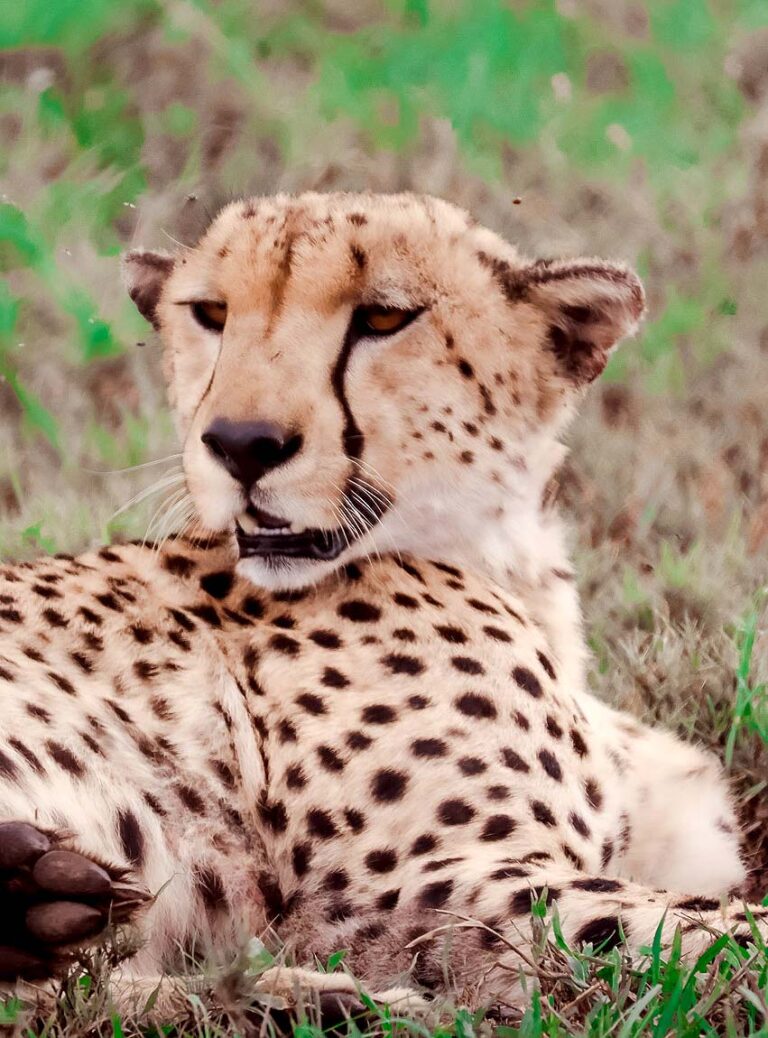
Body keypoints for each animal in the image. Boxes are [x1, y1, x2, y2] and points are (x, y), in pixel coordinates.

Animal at [0, 191, 765, 1015]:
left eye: (384, 318)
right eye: (210, 312)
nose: (242, 443)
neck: (504, 563)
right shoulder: (406, 892)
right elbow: (721, 931)